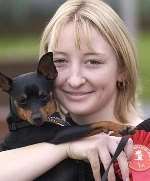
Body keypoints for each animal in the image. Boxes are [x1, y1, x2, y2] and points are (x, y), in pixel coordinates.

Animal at [0, 52, 135, 180]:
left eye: (43, 96)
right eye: (22, 101)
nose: (37, 118)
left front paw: (117, 132)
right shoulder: (58, 135)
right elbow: (95, 124)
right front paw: (120, 127)